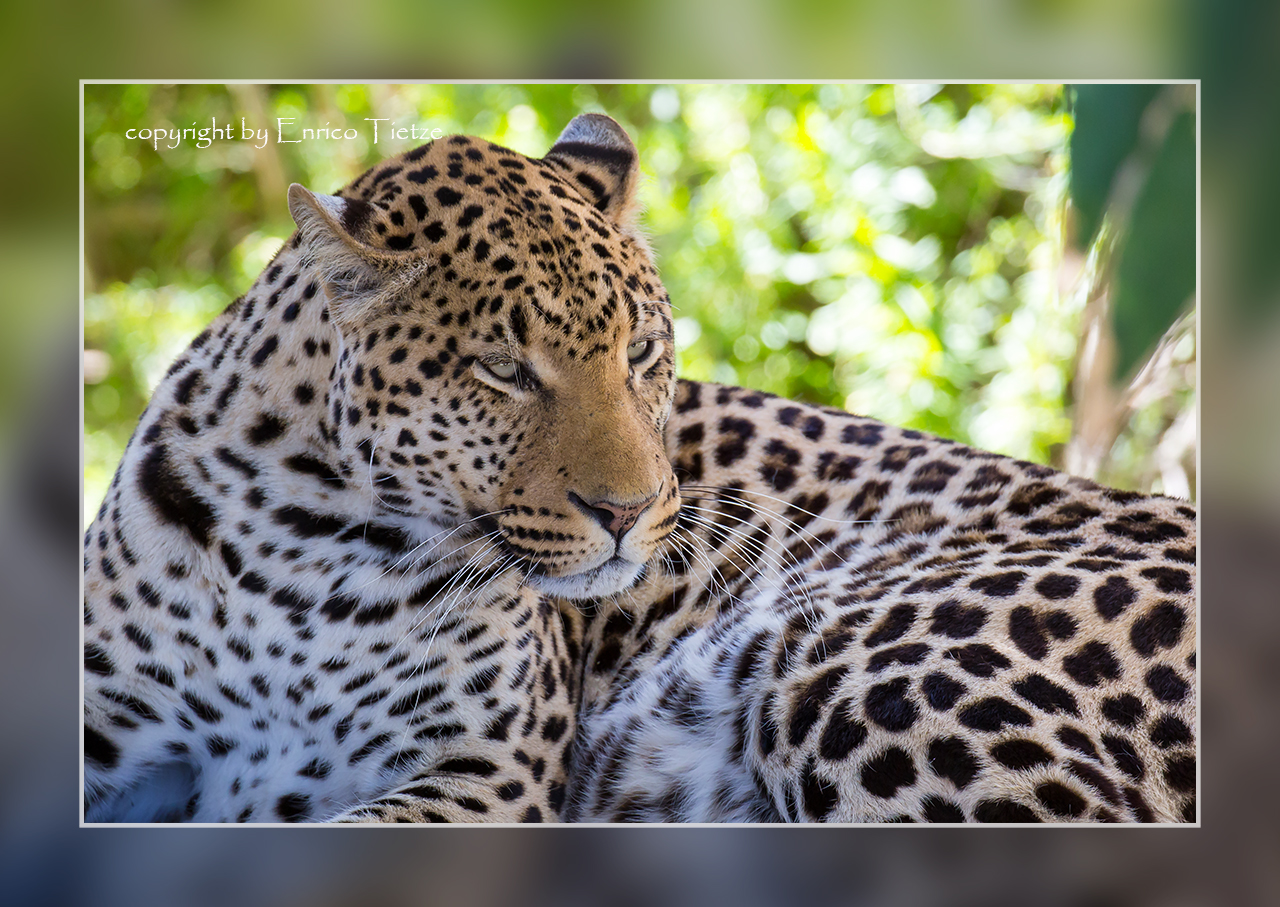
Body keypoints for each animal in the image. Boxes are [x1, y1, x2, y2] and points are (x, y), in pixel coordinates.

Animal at [85, 111, 1192, 818]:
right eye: (503, 369)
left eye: (644, 353)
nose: (629, 511)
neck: (307, 537)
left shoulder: (485, 769)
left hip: (865, 672)